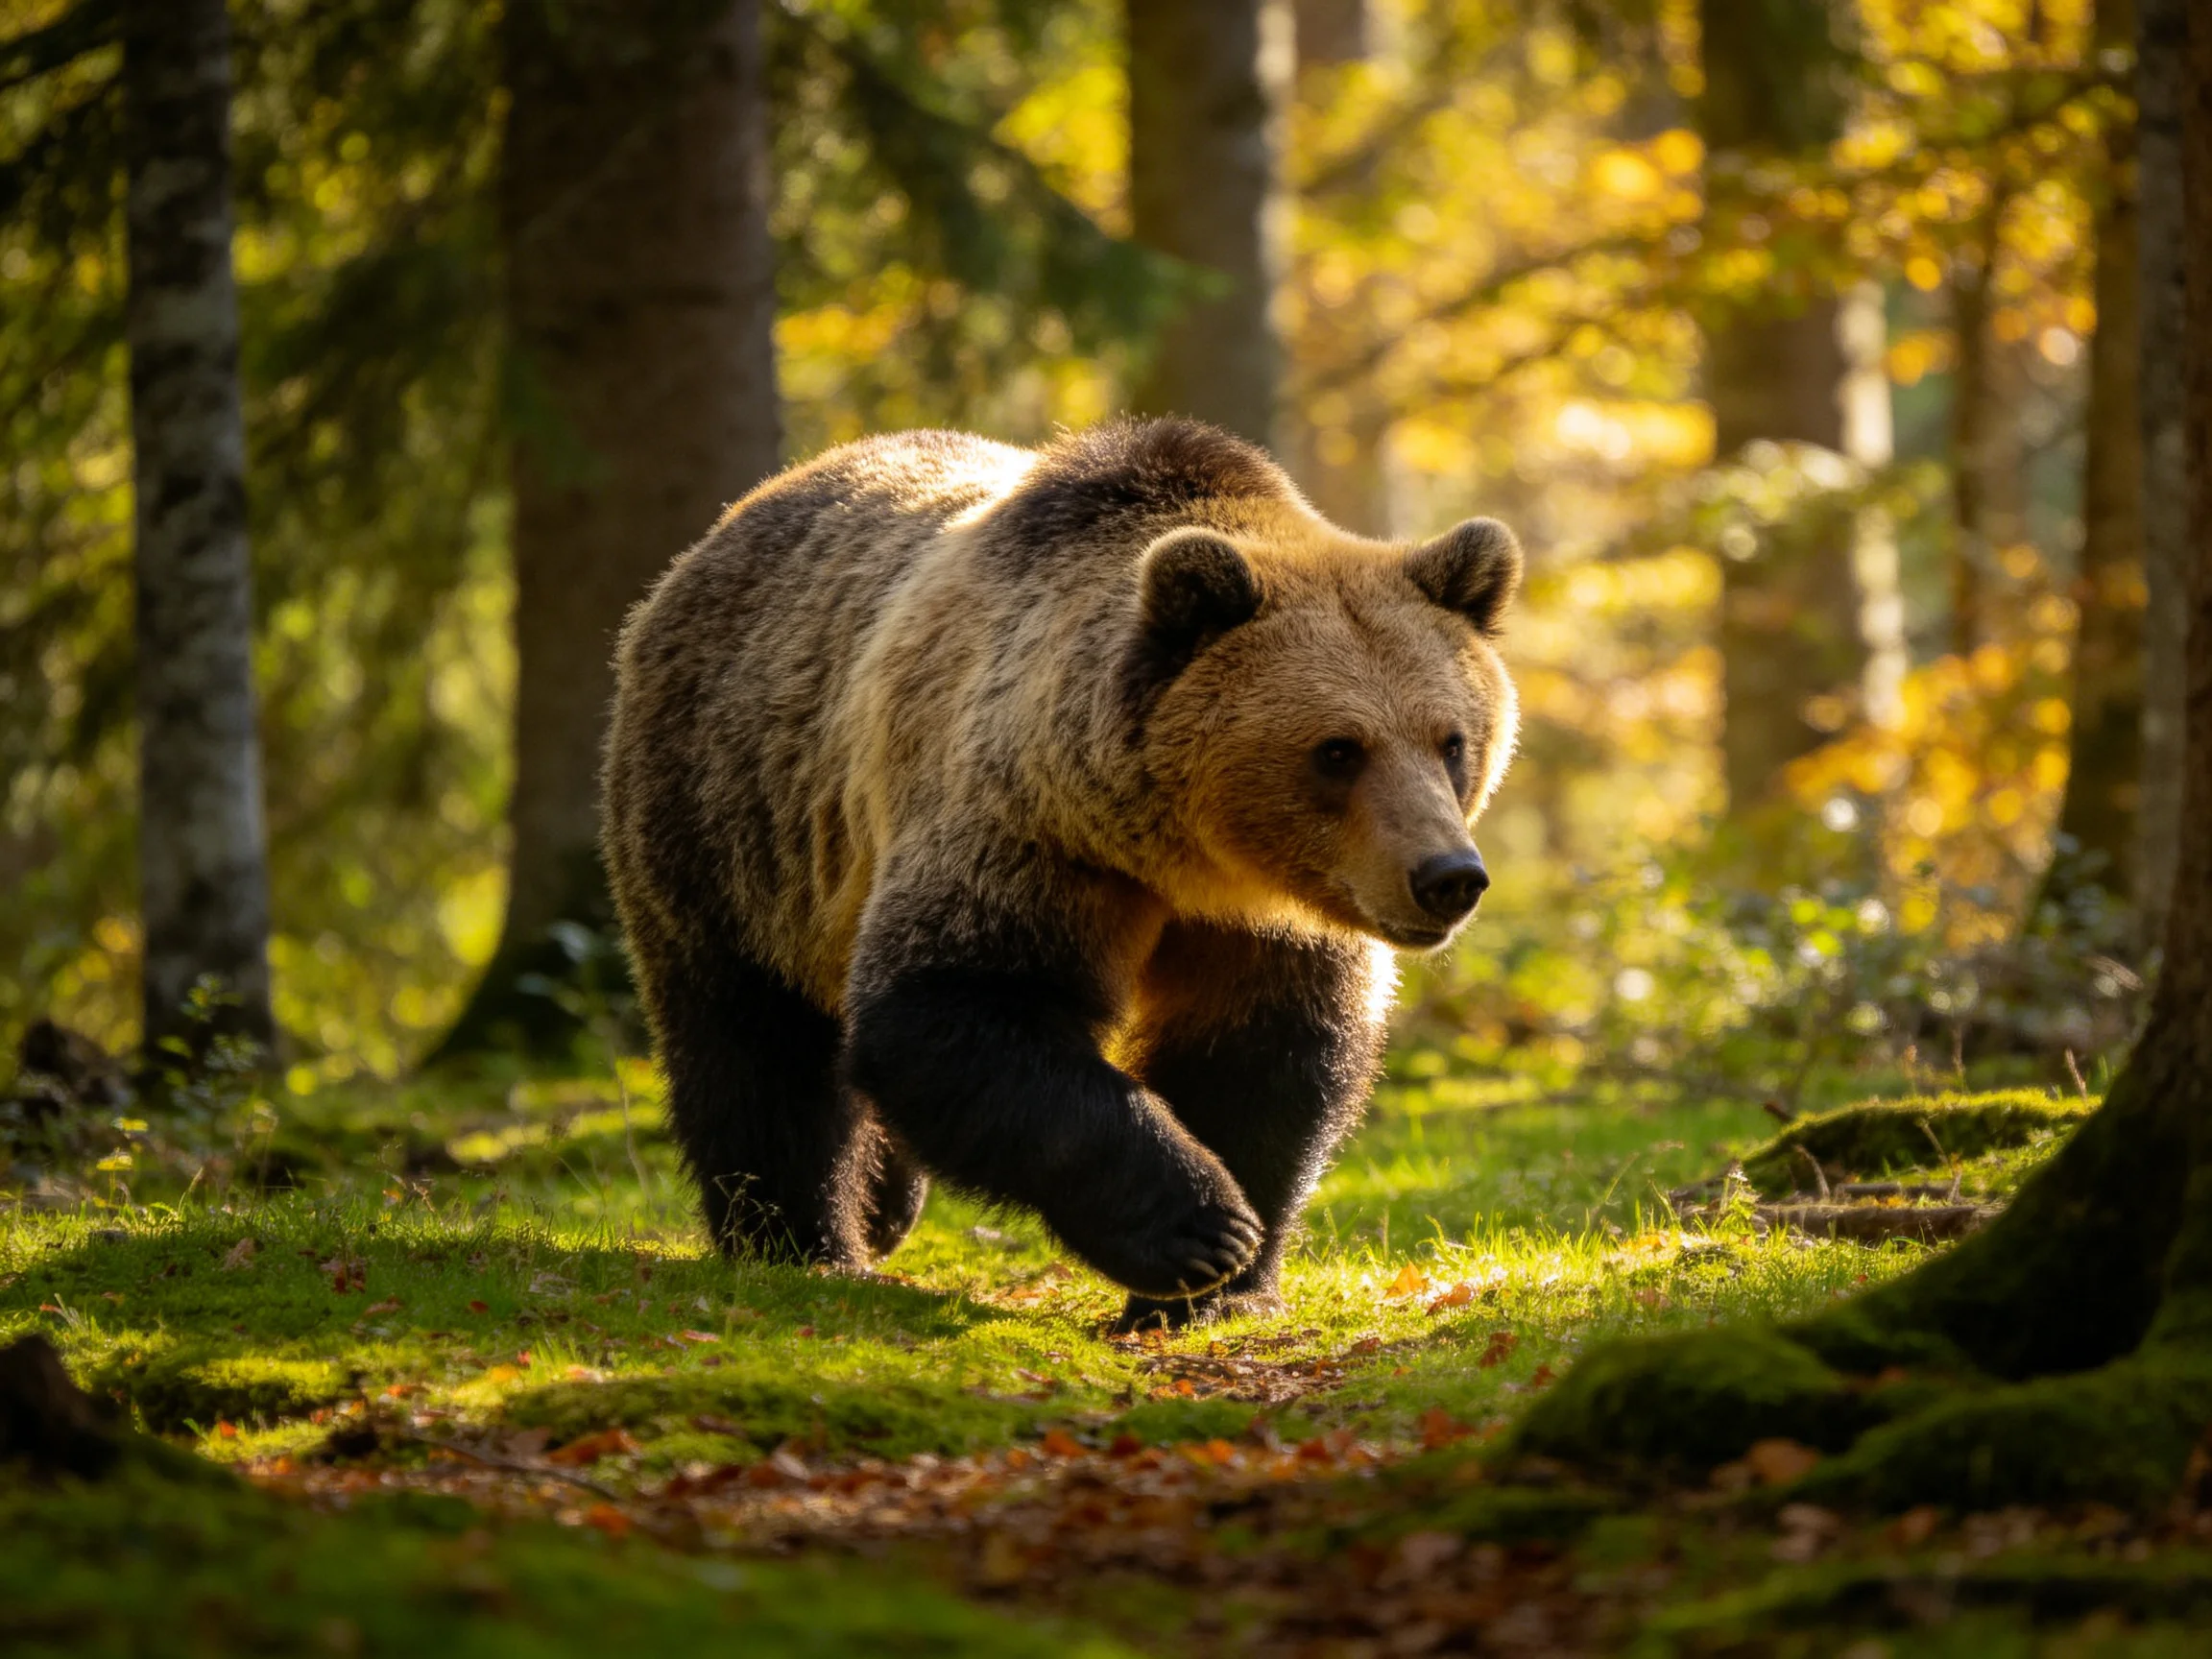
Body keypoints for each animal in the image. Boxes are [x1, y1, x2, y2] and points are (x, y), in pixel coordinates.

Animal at [601, 418, 1521, 1329]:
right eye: (1338, 750)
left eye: (1450, 741)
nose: (1447, 875)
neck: (1188, 856)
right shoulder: (1028, 830)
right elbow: (963, 1007)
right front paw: (1200, 1229)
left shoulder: (1271, 926)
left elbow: (1265, 1057)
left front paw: (1219, 1287)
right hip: (737, 816)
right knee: (753, 1039)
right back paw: (803, 1243)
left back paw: (881, 1205)